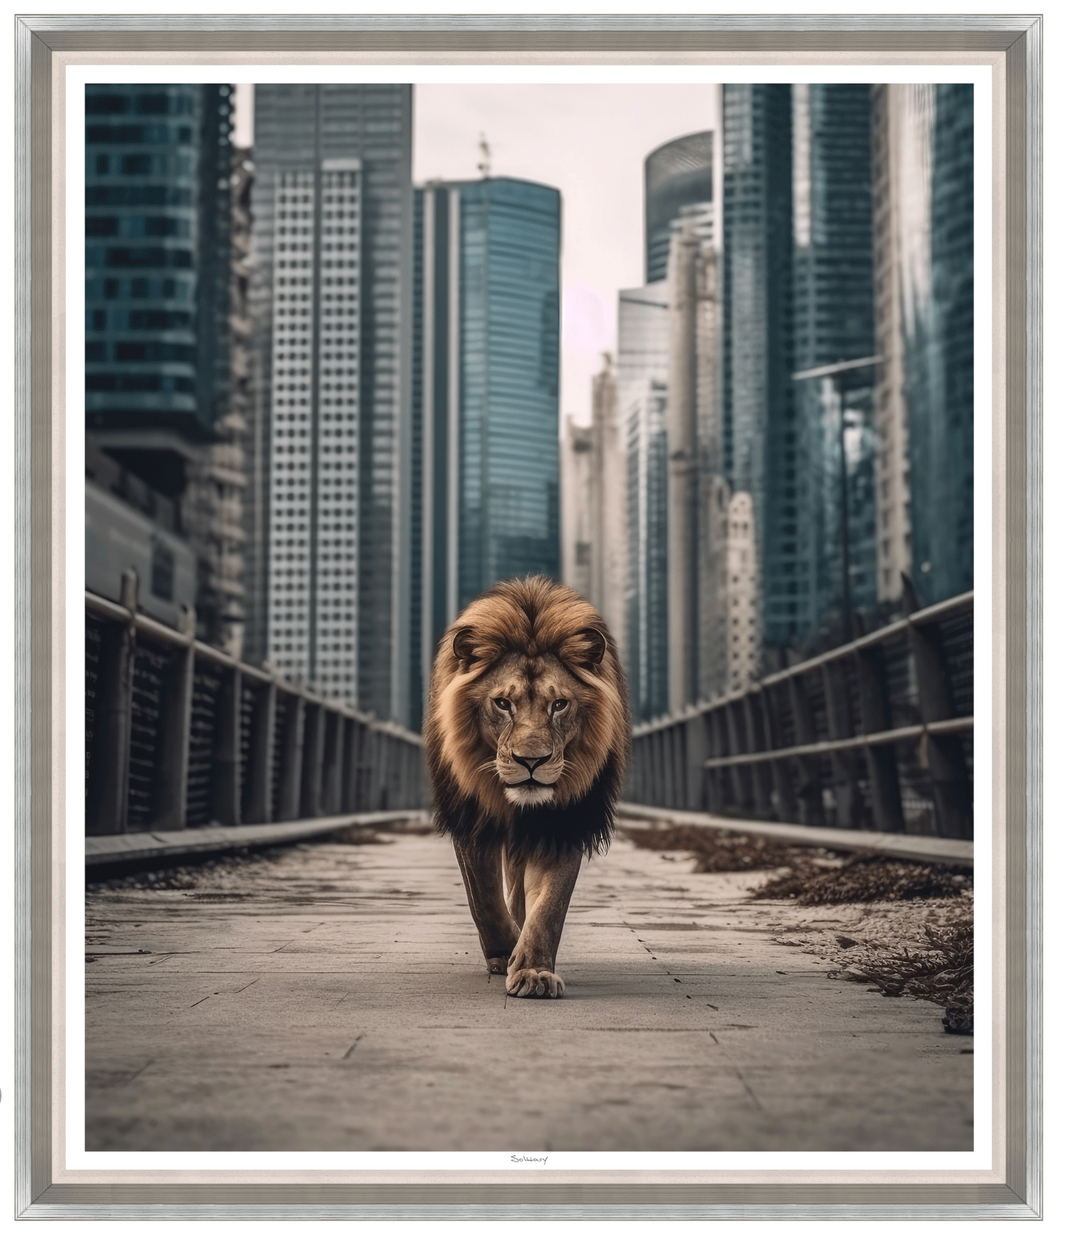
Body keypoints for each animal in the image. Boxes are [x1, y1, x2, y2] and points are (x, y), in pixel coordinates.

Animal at [424, 576, 631, 998]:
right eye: (503, 703)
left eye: (560, 705)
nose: (531, 762)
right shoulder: (473, 816)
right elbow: (484, 897)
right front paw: (505, 951)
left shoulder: (563, 822)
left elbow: (549, 907)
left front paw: (534, 970)